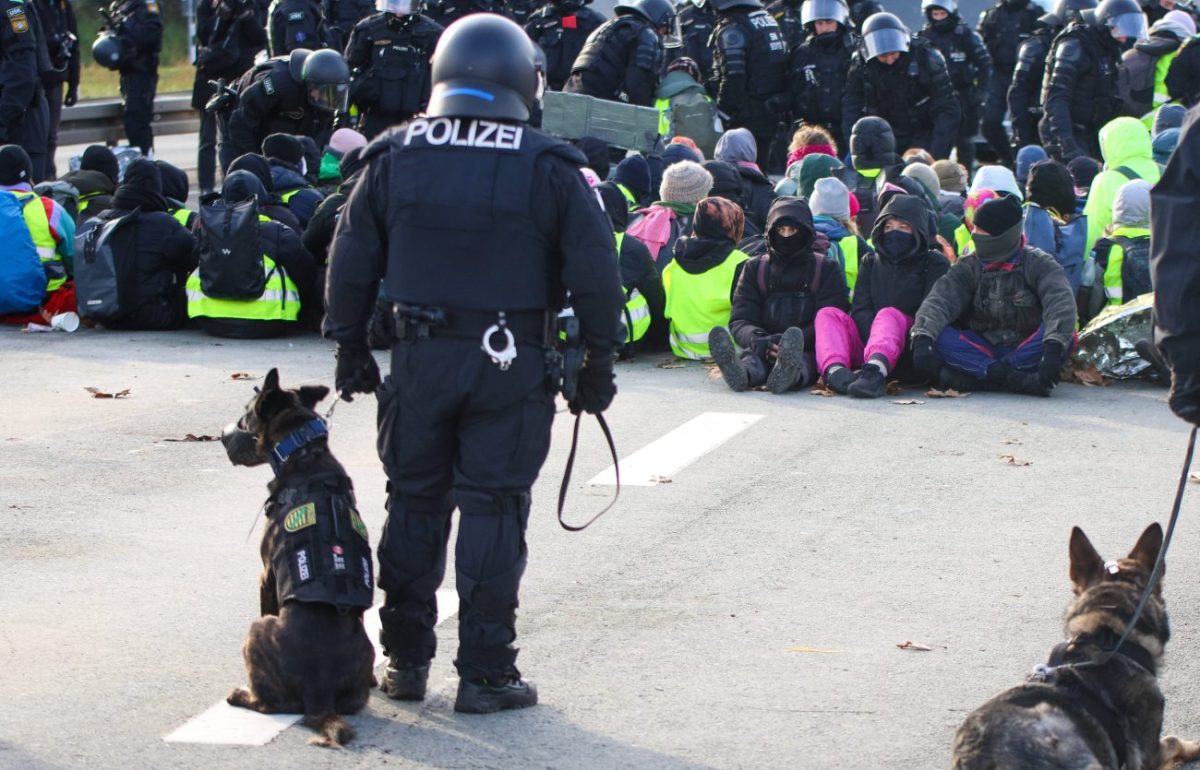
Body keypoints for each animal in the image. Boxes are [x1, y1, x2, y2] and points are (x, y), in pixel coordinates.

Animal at [221, 368, 376, 748]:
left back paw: (240, 695)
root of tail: (318, 692)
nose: (221, 436)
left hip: (257, 629)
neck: (304, 453)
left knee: (270, 704)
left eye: (246, 414)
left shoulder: (266, 575)